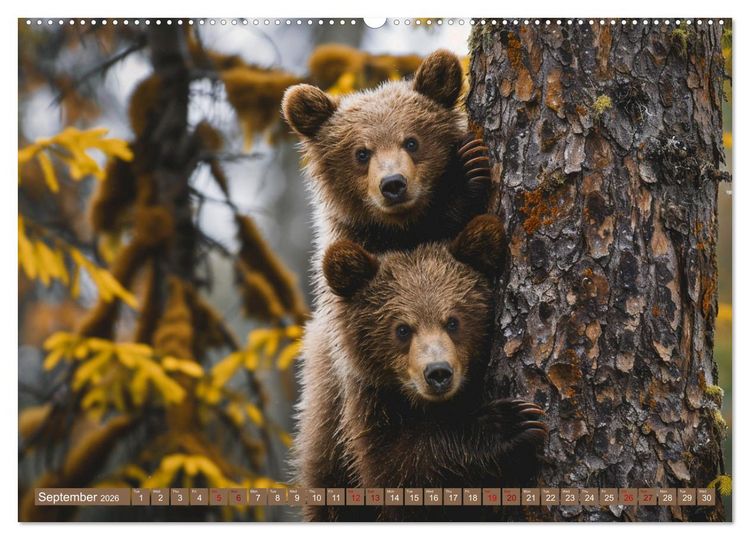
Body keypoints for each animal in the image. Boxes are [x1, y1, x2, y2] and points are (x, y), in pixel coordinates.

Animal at [293, 215, 547, 522]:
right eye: (402, 329)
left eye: (453, 321)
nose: (438, 373)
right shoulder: (364, 404)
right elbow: (397, 470)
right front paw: (510, 423)